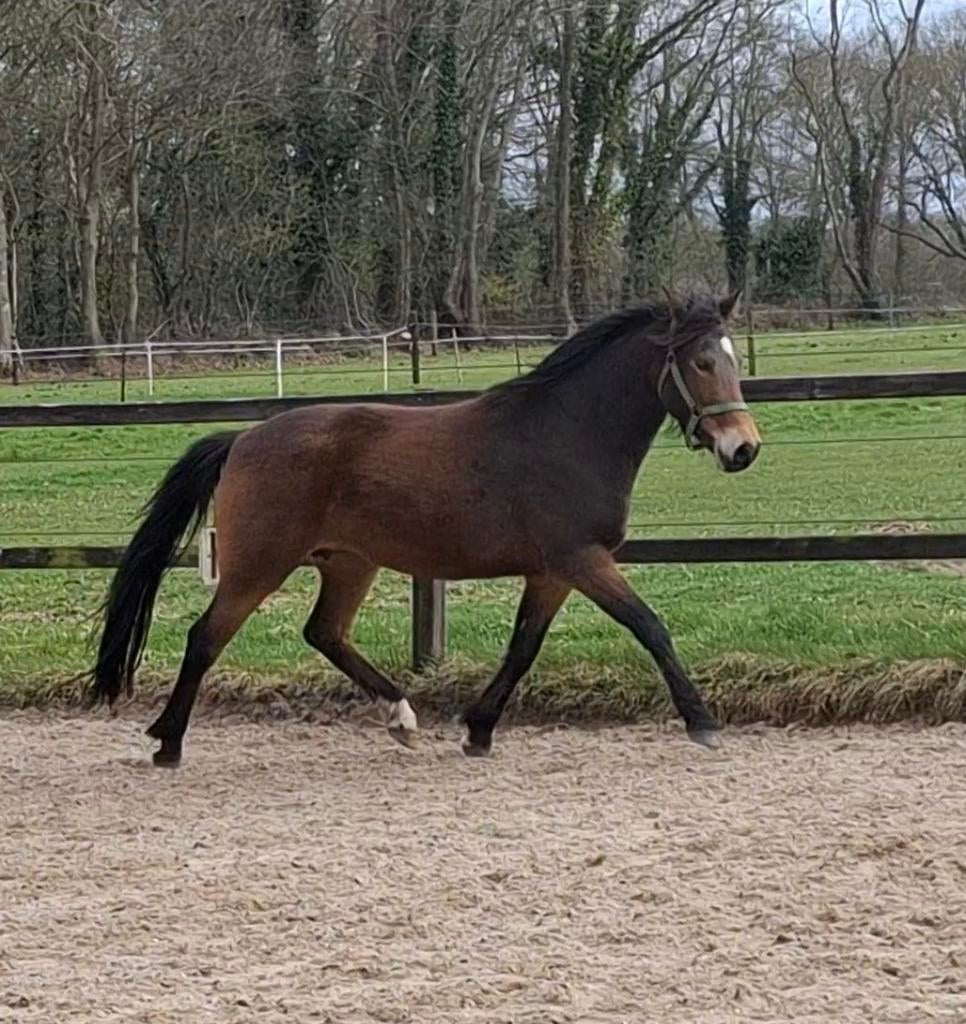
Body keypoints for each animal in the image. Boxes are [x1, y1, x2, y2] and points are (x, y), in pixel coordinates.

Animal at [90, 290, 761, 767]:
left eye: (732, 361)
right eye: (702, 362)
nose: (743, 449)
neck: (568, 433)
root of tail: (244, 439)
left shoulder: (553, 571)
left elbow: (523, 648)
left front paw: (479, 730)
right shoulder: (582, 559)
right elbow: (650, 626)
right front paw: (702, 723)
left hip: (349, 563)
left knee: (324, 633)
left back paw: (401, 719)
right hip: (259, 565)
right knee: (206, 637)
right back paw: (168, 743)